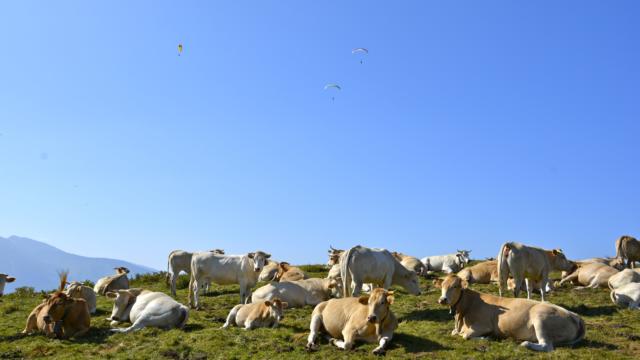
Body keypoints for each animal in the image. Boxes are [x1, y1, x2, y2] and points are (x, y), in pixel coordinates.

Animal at [438, 276, 584, 352]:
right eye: (442, 286)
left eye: (455, 286)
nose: (442, 299)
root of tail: (575, 315)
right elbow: (455, 333)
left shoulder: (483, 325)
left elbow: (466, 336)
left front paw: (486, 338)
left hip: (541, 319)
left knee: (547, 346)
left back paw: (525, 343)